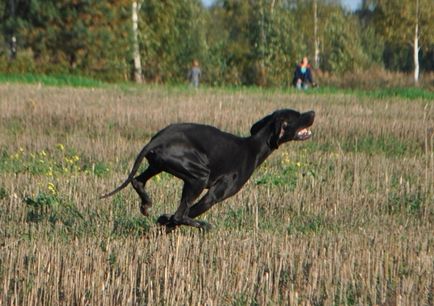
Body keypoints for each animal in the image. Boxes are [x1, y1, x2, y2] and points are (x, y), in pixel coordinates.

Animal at [100, 109, 314, 231]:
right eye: (298, 116)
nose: (312, 112)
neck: (253, 147)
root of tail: (157, 139)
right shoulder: (215, 195)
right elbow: (184, 215)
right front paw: (166, 221)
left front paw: (163, 220)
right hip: (198, 176)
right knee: (181, 214)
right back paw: (201, 225)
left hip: (158, 165)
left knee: (137, 181)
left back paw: (146, 204)